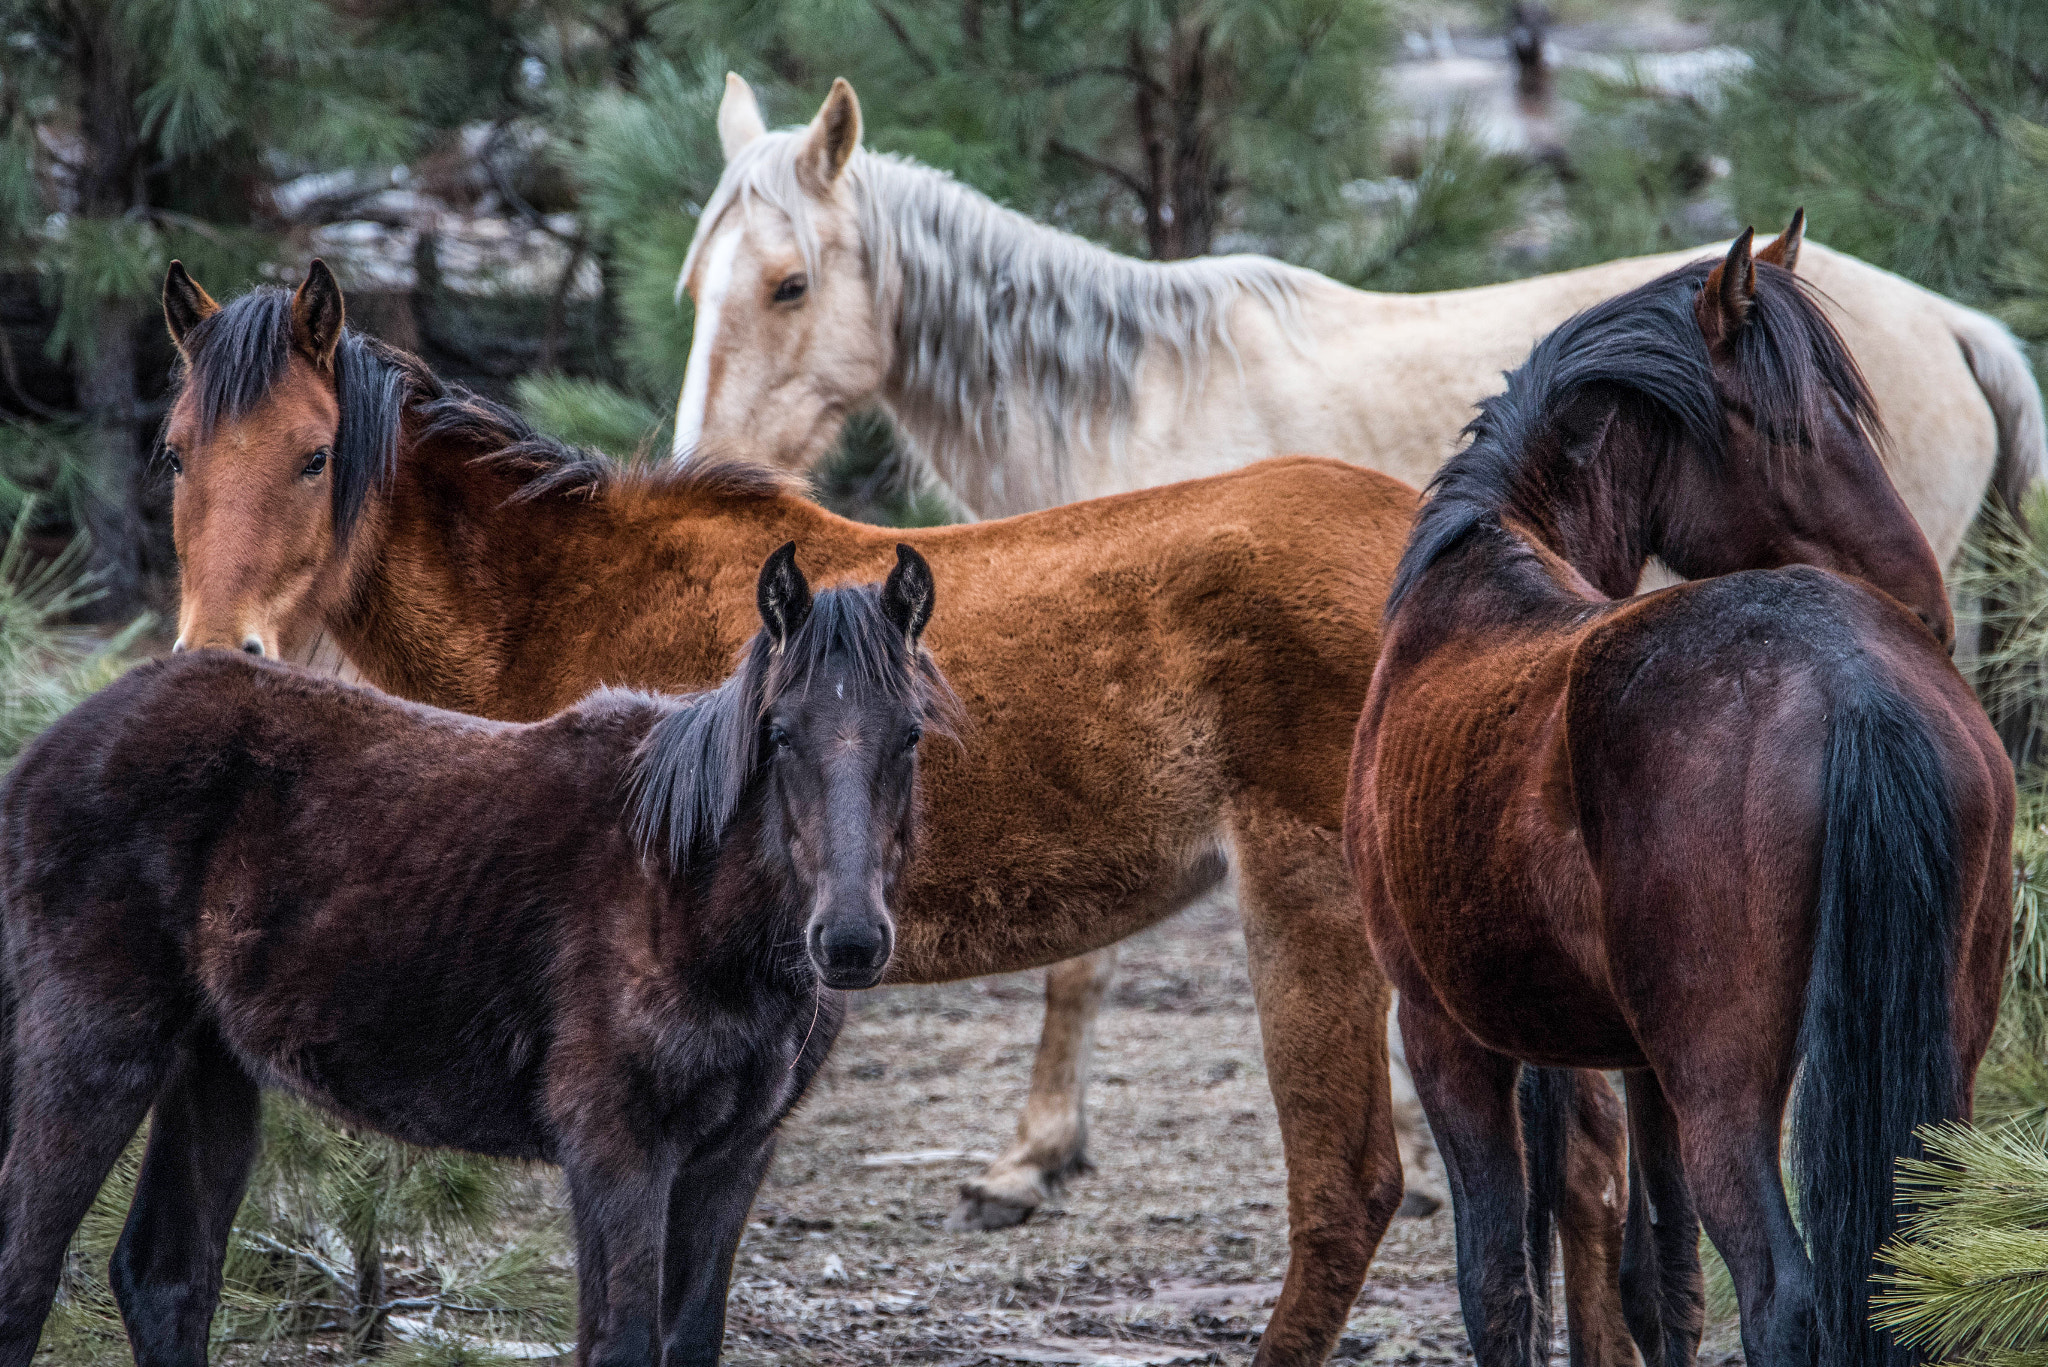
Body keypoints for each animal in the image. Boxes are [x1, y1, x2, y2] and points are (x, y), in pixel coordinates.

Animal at [0, 545, 954, 1367]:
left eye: (909, 734)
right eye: (781, 732)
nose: (850, 940)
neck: (686, 888)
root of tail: (43, 754)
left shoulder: (732, 1159)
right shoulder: (618, 1146)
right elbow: (621, 1341)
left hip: (209, 1064)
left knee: (166, 1279)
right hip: (94, 1049)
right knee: (27, 1270)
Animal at [154, 260, 1460, 1367]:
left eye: (315, 456)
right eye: (174, 456)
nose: (219, 649)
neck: (557, 599)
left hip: (1306, 908)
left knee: (1347, 1189)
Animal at [677, 70, 2046, 1234]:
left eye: (788, 285)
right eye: (697, 288)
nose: (702, 474)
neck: (1134, 412)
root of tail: (1953, 320)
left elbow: (1090, 963)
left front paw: (1031, 1155)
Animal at [1346, 232, 2014, 1367]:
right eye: (1783, 426)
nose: (1925, 601)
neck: (1487, 562)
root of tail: (1855, 676)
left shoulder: (1448, 1038)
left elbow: (1499, 1281)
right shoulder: (1634, 1063)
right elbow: (1658, 1282)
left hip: (1722, 1087)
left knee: (1781, 1292)